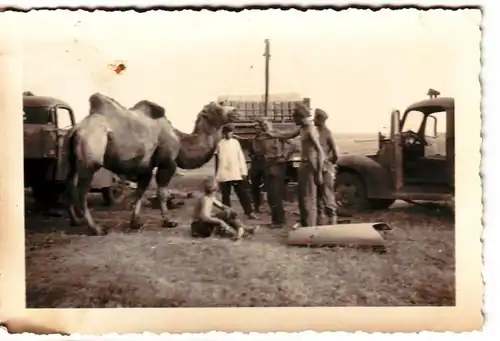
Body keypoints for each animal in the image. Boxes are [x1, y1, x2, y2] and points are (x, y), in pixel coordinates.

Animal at [64, 94, 240, 235]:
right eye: (217, 108)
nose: (236, 111)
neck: (179, 139)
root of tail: (76, 129)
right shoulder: (167, 163)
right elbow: (162, 192)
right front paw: (168, 221)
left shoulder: (146, 168)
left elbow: (140, 192)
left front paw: (135, 222)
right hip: (90, 161)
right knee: (81, 193)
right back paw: (97, 228)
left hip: (72, 161)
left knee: (68, 187)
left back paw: (75, 221)